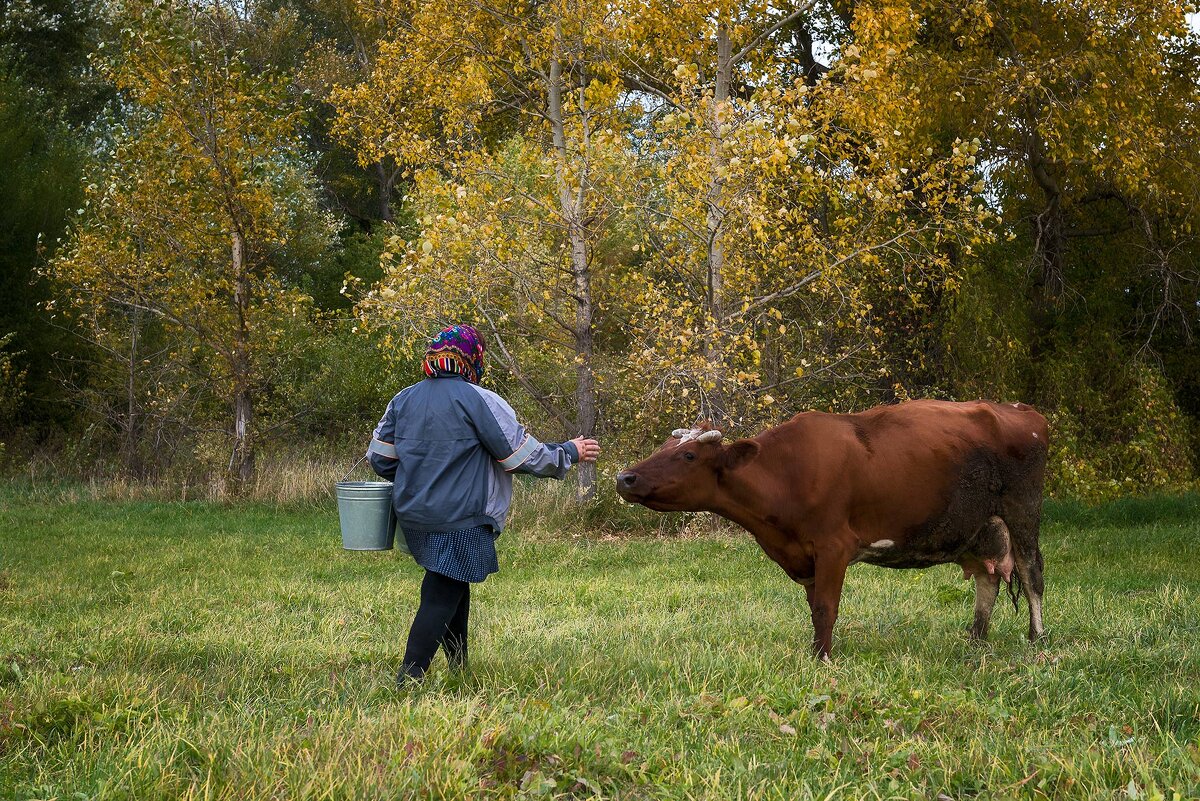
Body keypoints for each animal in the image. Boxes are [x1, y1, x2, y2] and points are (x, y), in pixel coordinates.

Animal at [614, 398, 1046, 657]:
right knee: (988, 578)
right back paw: (976, 639)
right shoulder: (803, 555)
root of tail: (1022, 410)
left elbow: (826, 607)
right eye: (663, 448)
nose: (624, 477)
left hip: (1023, 513)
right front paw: (814, 650)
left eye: (688, 455)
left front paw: (822, 658)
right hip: (979, 527)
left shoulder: (833, 546)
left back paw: (1037, 640)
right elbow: (813, 609)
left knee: (1031, 575)